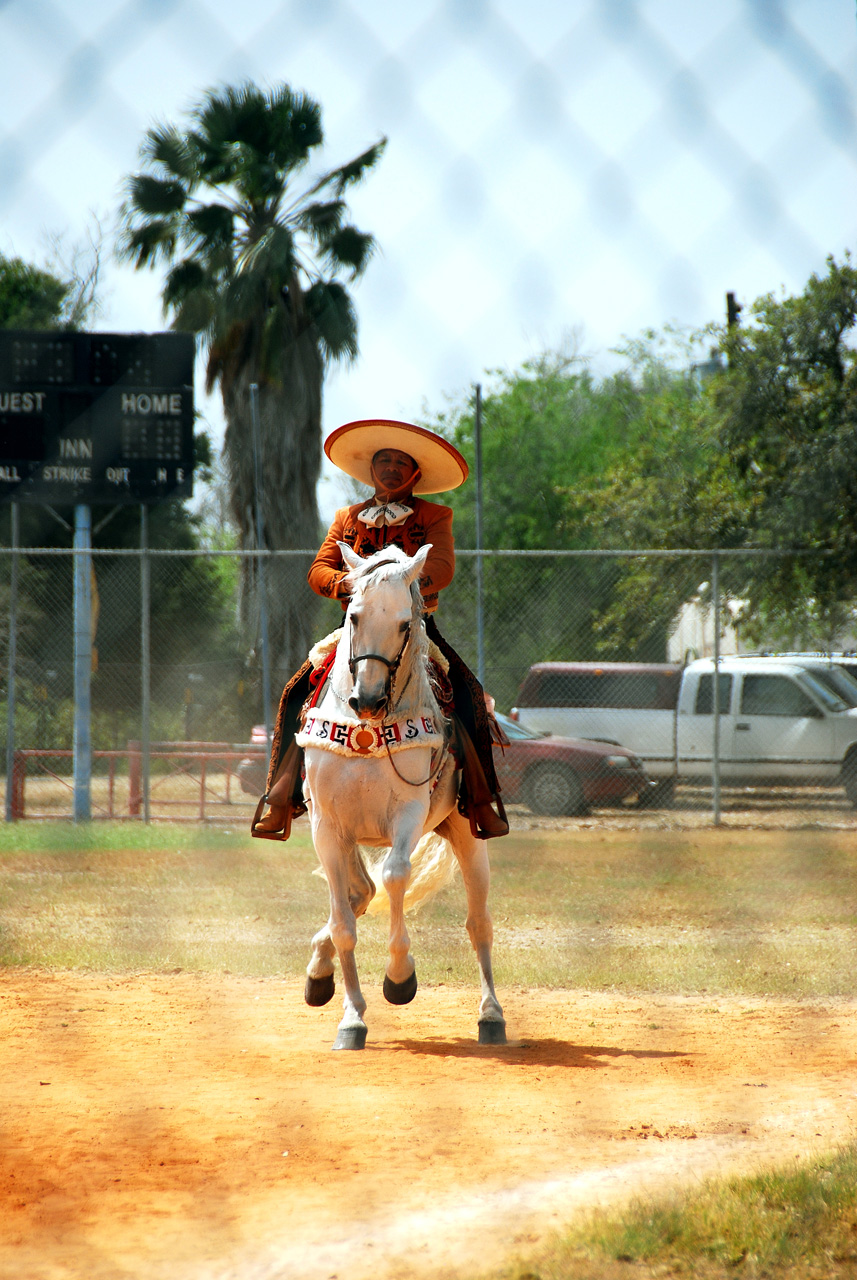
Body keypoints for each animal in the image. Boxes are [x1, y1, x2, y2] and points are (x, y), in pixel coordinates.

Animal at [299, 540, 506, 1049]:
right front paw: (351, 1018)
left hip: (468, 834)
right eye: (353, 616)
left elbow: (395, 876)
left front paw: (399, 977)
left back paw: (491, 1015)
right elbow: (343, 922)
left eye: (404, 623)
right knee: (358, 894)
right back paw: (319, 972)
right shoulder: (328, 828)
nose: (368, 700)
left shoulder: (407, 815)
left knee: (478, 923)